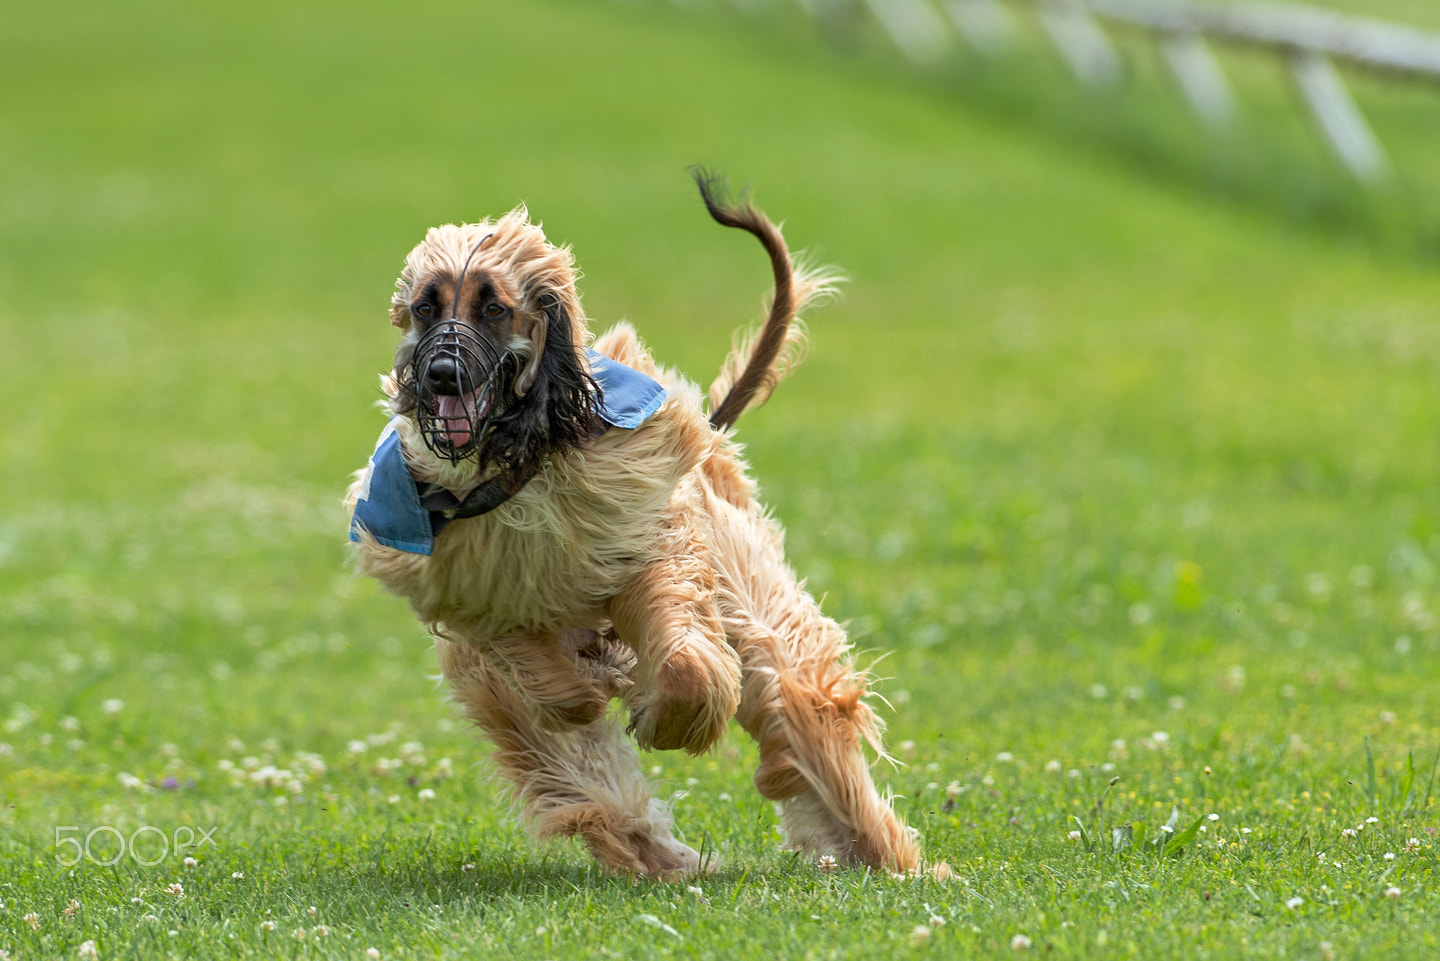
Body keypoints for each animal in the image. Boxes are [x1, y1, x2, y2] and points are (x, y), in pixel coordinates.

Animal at [342, 172, 915, 881]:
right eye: (426, 307)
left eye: (492, 308)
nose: (441, 375)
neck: (518, 460)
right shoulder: (479, 593)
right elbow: (555, 690)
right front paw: (590, 684)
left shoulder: (642, 541)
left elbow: (687, 663)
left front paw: (664, 716)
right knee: (586, 783)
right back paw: (665, 856)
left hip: (749, 605)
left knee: (798, 706)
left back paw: (887, 857)